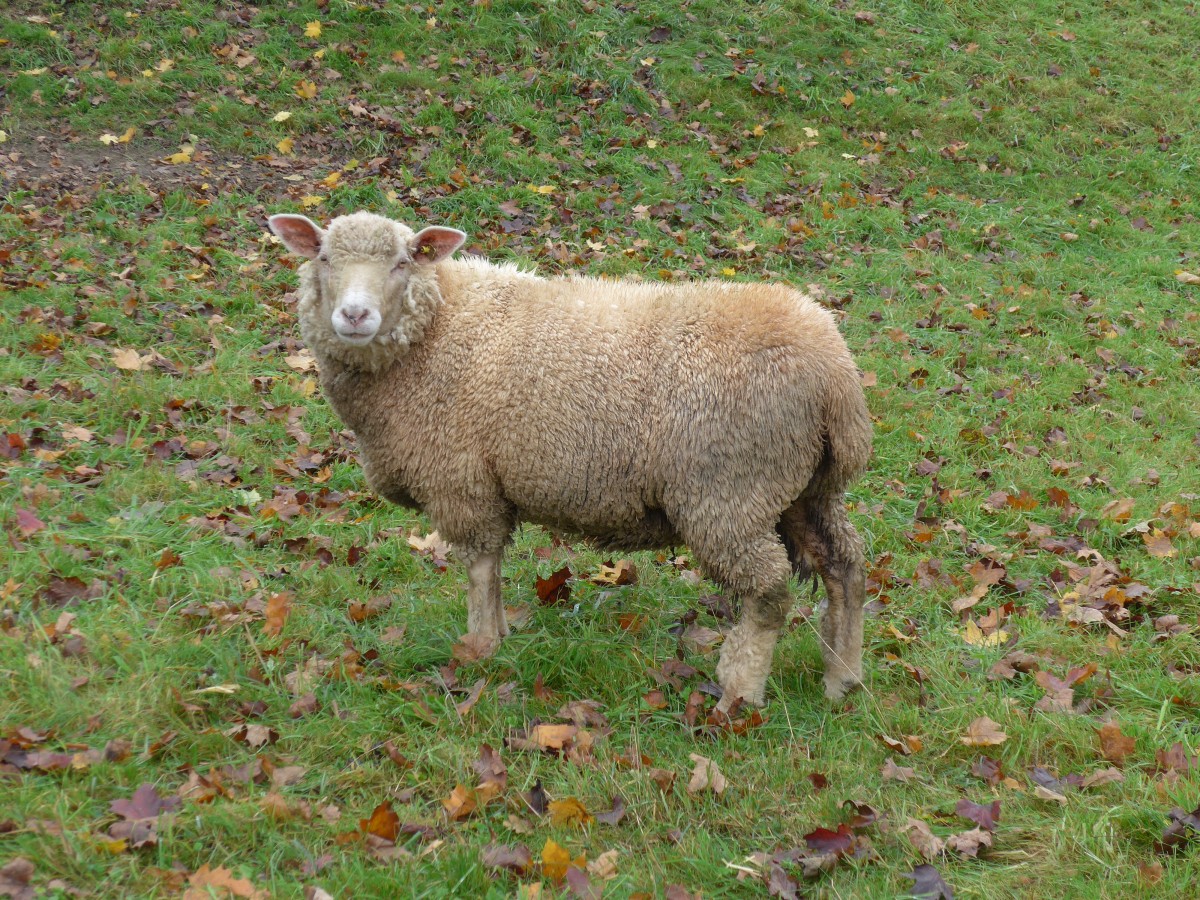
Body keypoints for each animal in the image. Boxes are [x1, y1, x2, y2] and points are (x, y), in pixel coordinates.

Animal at [267, 210, 872, 708]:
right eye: (324, 258)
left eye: (400, 262)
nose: (354, 314)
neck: (437, 329)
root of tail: (836, 373)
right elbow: (492, 567)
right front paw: (500, 636)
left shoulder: (460, 478)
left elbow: (479, 566)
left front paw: (479, 647)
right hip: (801, 486)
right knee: (845, 565)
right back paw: (841, 678)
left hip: (730, 488)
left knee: (768, 590)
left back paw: (740, 691)